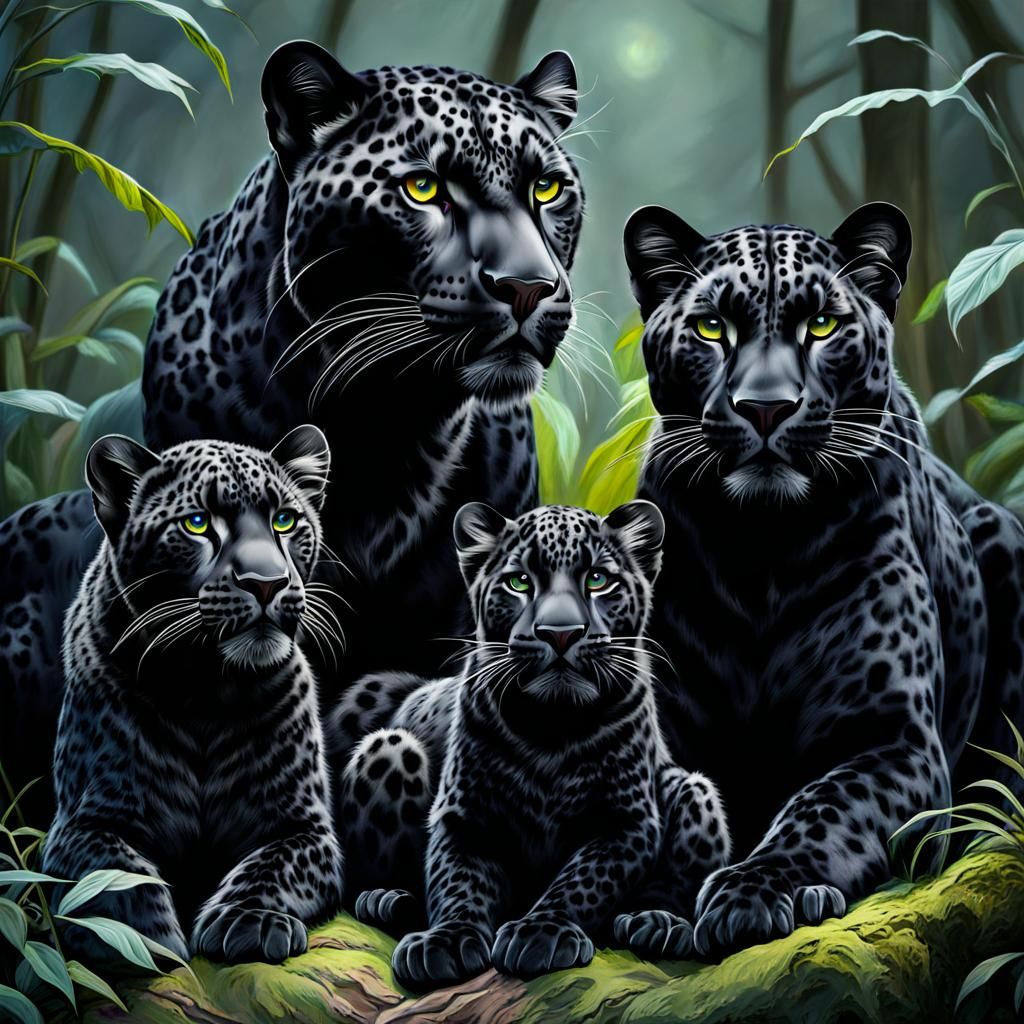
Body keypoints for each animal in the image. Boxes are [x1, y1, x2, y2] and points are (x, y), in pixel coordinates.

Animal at [42, 425, 344, 964]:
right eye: (198, 524)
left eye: (284, 521)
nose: (267, 584)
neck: (207, 691)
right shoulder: (81, 823)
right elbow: (114, 873)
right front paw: (144, 936)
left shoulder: (303, 827)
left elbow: (272, 866)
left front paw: (248, 920)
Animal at [333, 501, 732, 987]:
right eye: (519, 581)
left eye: (597, 579)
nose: (560, 633)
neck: (551, 726)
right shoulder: (464, 816)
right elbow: (459, 881)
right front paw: (447, 939)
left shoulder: (627, 822)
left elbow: (583, 880)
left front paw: (541, 932)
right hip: (388, 746)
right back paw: (386, 898)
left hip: (692, 788)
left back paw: (655, 922)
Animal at [622, 200, 1024, 959]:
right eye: (711, 328)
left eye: (822, 326)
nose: (766, 407)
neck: (761, 553)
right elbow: (676, 807)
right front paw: (654, 907)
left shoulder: (891, 737)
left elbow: (823, 805)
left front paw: (754, 892)